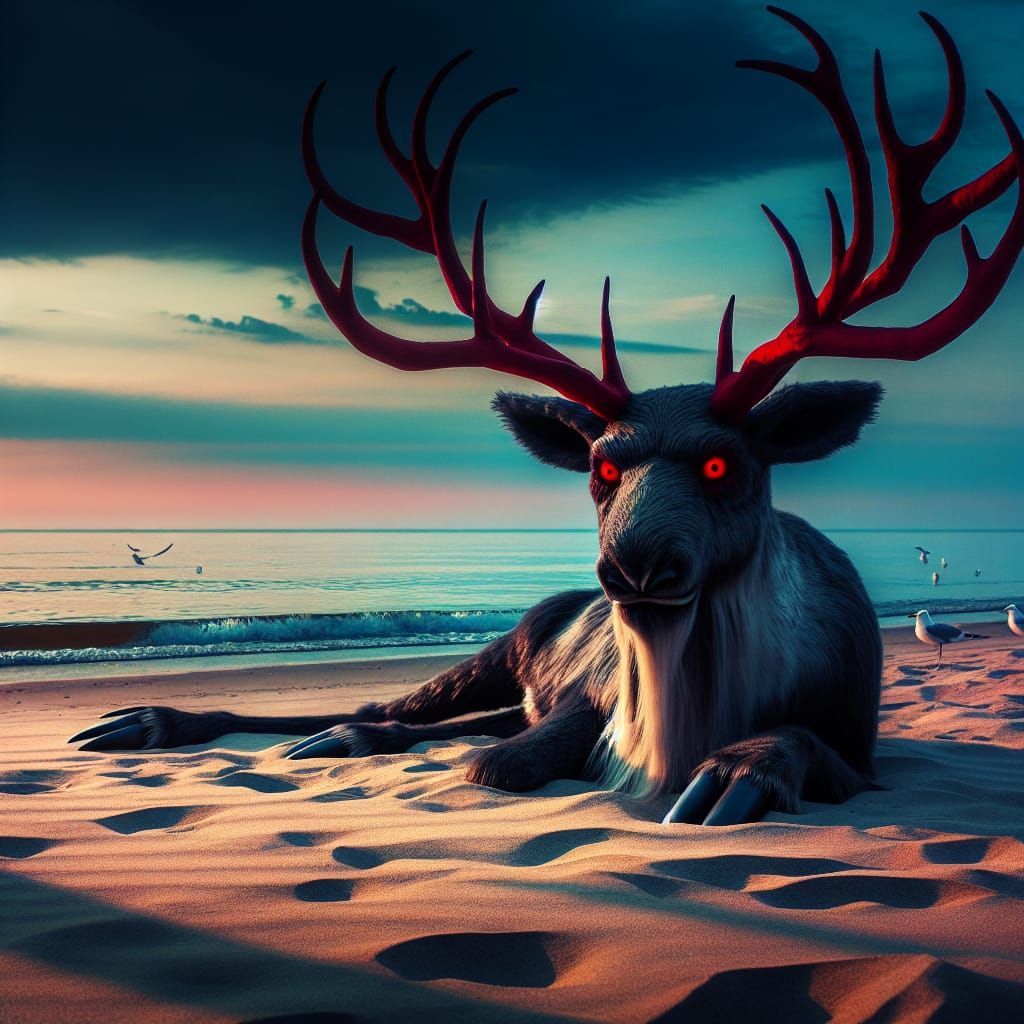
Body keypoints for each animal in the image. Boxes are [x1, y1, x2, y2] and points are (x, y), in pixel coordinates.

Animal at [71, 9, 1022, 826]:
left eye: (726, 465)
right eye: (602, 466)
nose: (635, 566)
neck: (684, 716)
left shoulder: (856, 735)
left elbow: (795, 744)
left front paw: (734, 775)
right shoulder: (585, 699)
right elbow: (504, 756)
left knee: (435, 722)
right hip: (506, 643)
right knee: (410, 708)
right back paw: (171, 722)